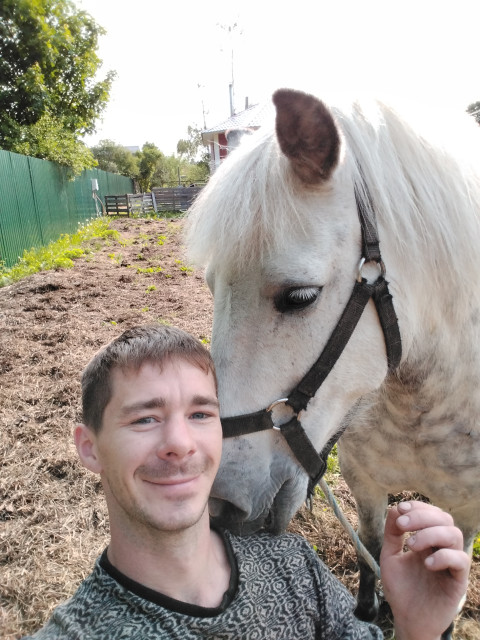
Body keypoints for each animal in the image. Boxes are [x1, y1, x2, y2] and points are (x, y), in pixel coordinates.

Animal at [187, 89, 480, 636]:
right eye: (212, 287)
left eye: (300, 296)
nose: (218, 502)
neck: (422, 404)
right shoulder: (365, 484)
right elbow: (371, 555)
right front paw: (370, 608)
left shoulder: (467, 510)